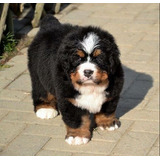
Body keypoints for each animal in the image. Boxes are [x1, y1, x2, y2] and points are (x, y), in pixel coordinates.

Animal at [27, 14, 124, 145]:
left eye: (99, 58)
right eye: (77, 58)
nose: (88, 71)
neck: (91, 86)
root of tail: (50, 25)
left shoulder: (112, 92)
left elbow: (107, 109)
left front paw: (107, 123)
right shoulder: (70, 99)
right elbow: (77, 120)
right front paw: (78, 136)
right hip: (38, 73)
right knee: (41, 91)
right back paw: (46, 109)